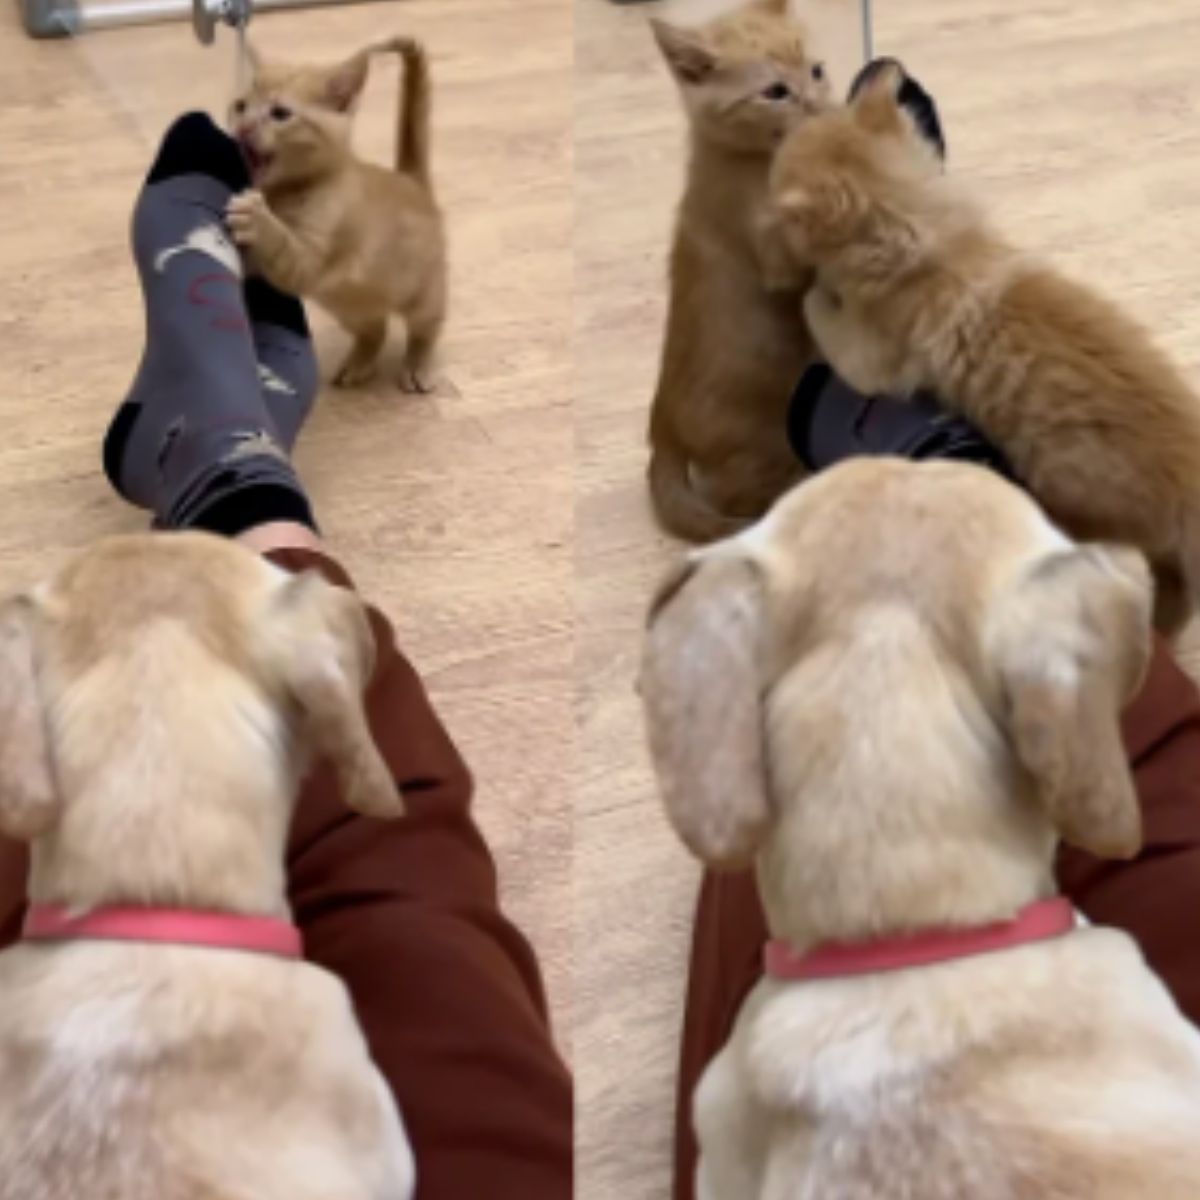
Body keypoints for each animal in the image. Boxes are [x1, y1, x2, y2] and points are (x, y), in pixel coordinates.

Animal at [226, 36, 444, 393]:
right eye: (241, 106)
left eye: (280, 113)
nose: (242, 127)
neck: (286, 193)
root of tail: (411, 181)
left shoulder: (311, 258)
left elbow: (284, 247)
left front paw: (258, 219)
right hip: (349, 304)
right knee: (375, 328)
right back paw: (359, 362)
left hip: (421, 290)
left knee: (427, 325)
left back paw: (417, 363)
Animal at [648, 0, 835, 540]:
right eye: (775, 92)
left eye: (817, 71)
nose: (821, 108)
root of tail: (660, 422)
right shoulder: (772, 252)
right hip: (761, 441)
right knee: (740, 495)